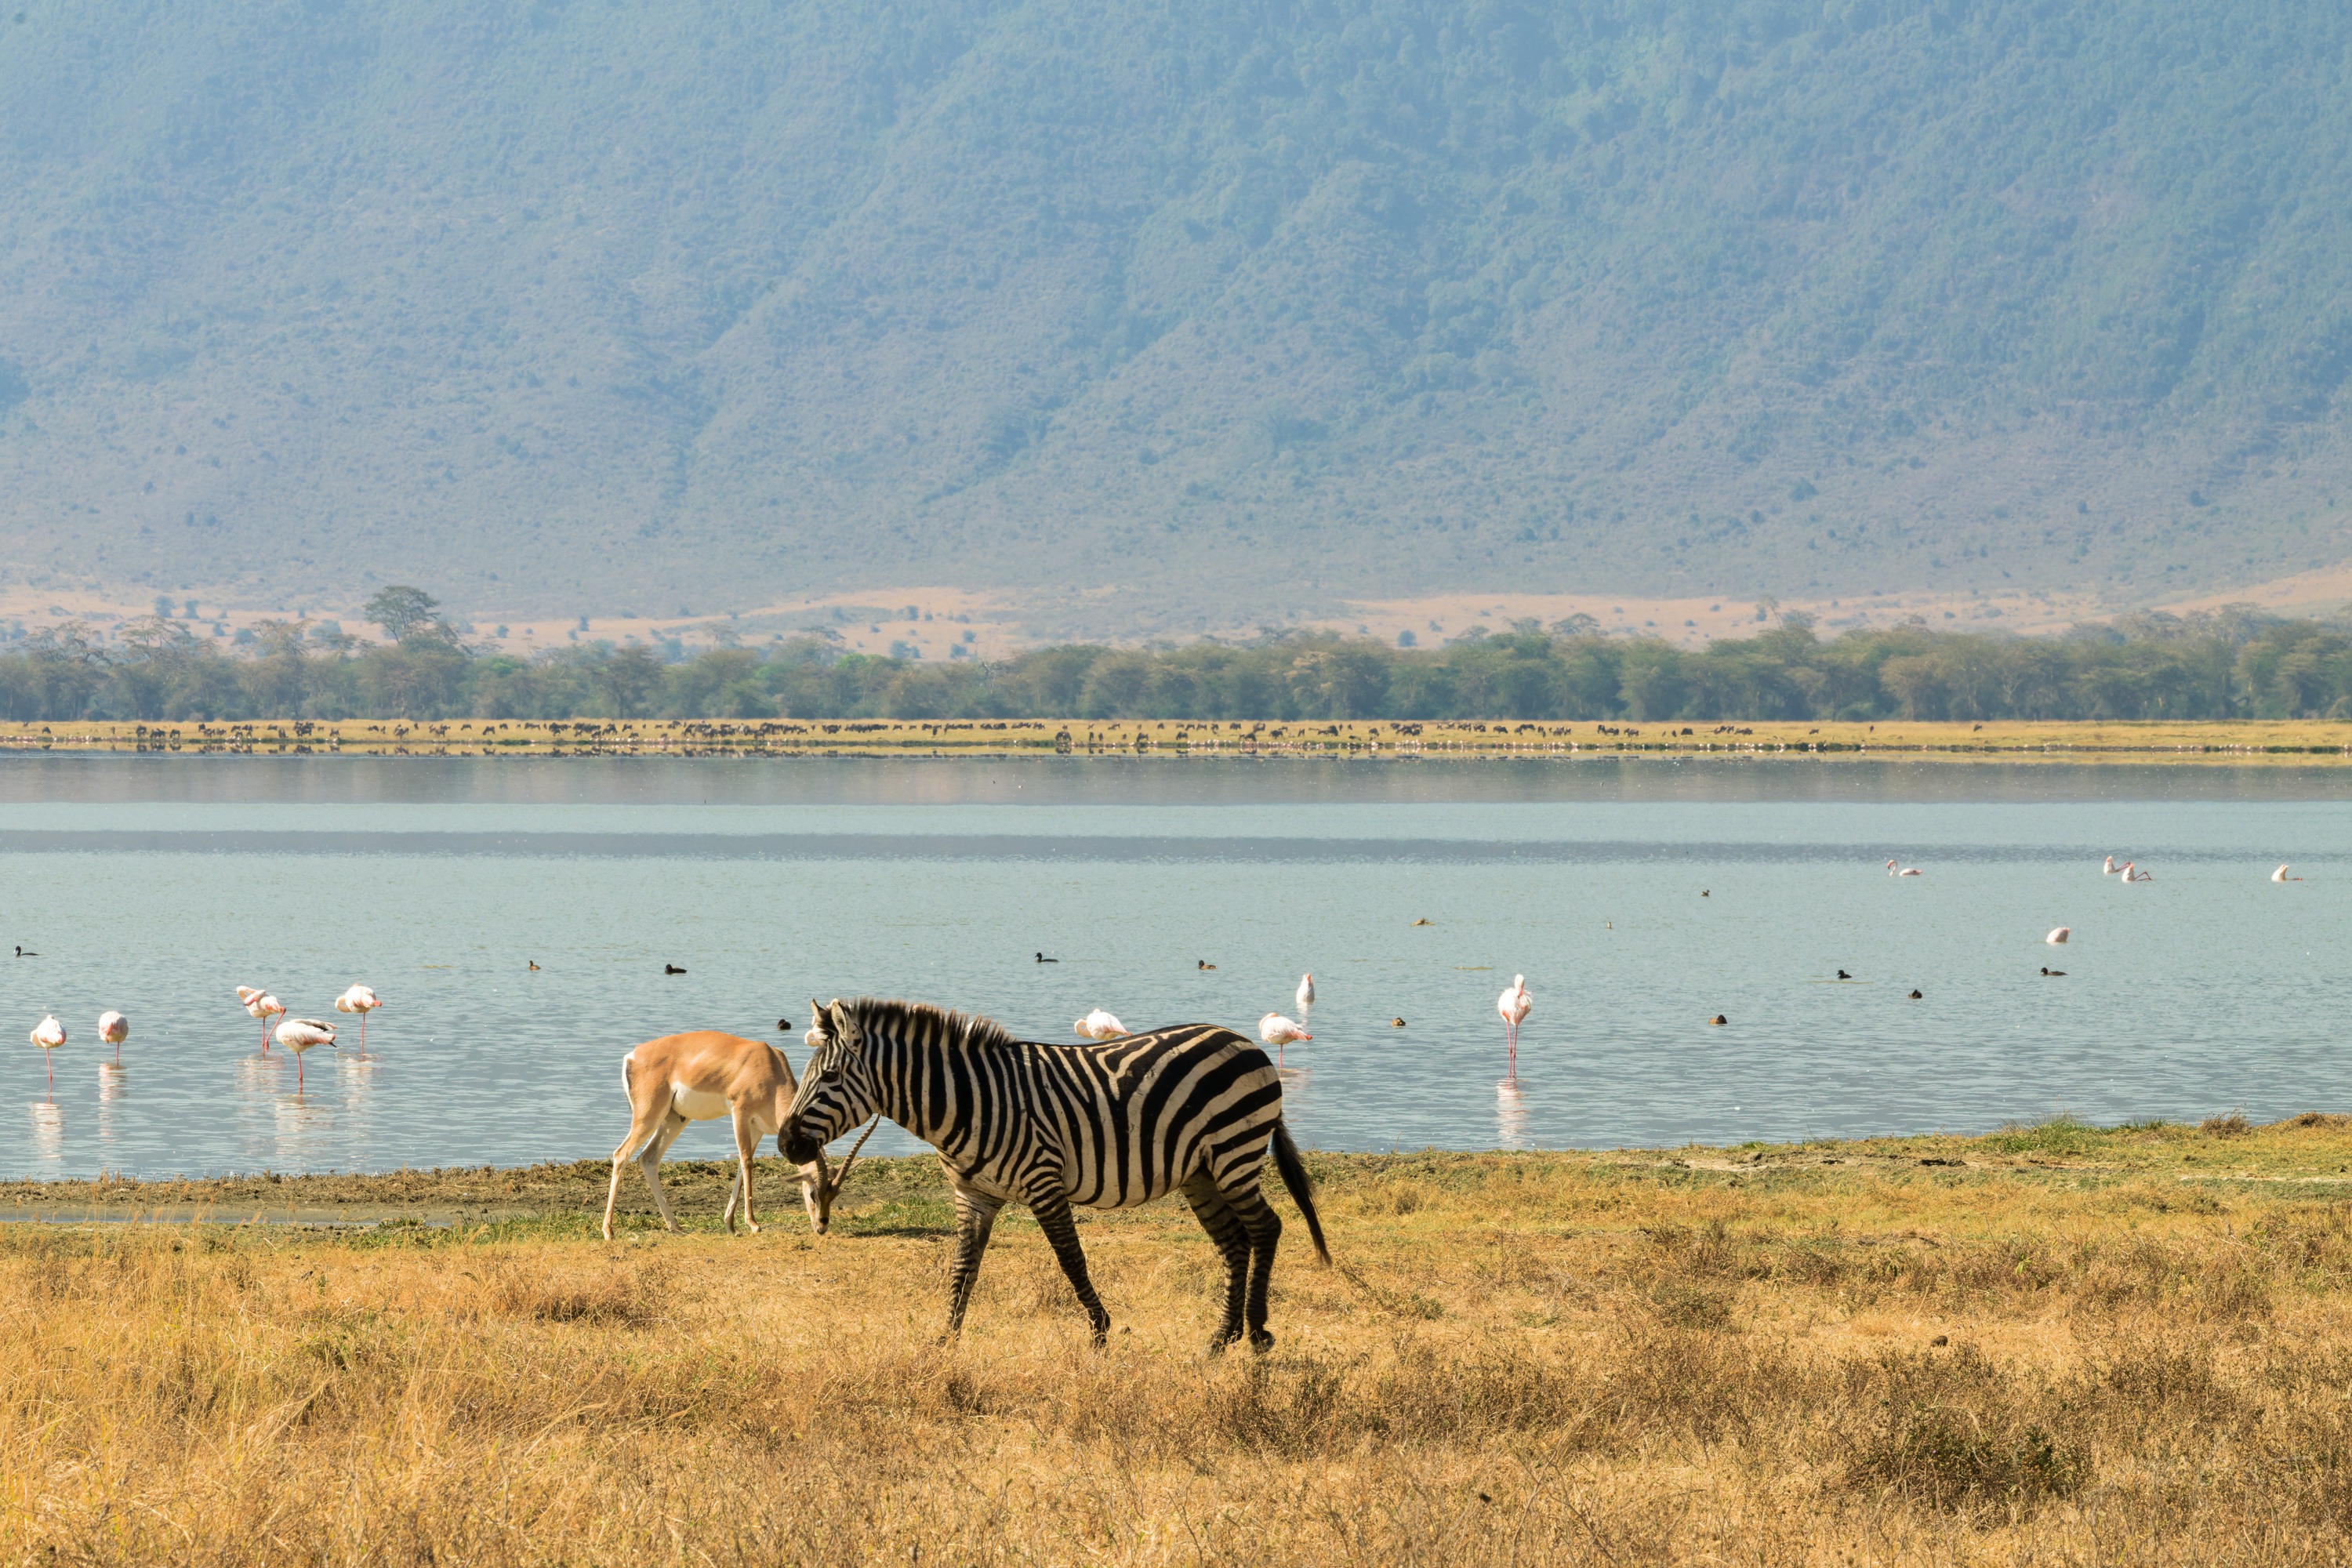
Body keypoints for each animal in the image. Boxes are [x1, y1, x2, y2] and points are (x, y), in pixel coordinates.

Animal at [781, 996, 1329, 1354]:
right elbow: (962, 1268)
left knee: (1266, 1228)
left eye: (830, 1077)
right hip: (1201, 1173)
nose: (786, 1144)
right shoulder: (973, 1194)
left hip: (1233, 1153)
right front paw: (944, 1343)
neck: (968, 1102)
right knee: (1235, 1241)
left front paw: (1101, 1334)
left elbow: (1071, 1260)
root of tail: (1244, 1042)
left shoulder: (1043, 1180)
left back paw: (1257, 1335)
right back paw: (1221, 1338)